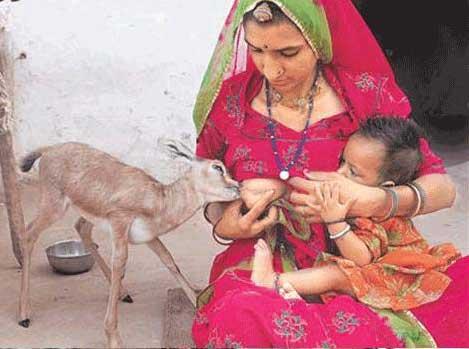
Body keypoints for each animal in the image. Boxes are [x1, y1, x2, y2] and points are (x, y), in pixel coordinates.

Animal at [16, 139, 239, 348]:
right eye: (218, 167)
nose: (238, 187)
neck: (158, 201)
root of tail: (49, 149)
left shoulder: (149, 237)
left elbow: (169, 260)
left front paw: (199, 307)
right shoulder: (120, 223)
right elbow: (119, 264)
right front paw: (113, 338)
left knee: (81, 228)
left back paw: (124, 294)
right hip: (53, 207)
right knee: (28, 234)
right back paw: (24, 316)